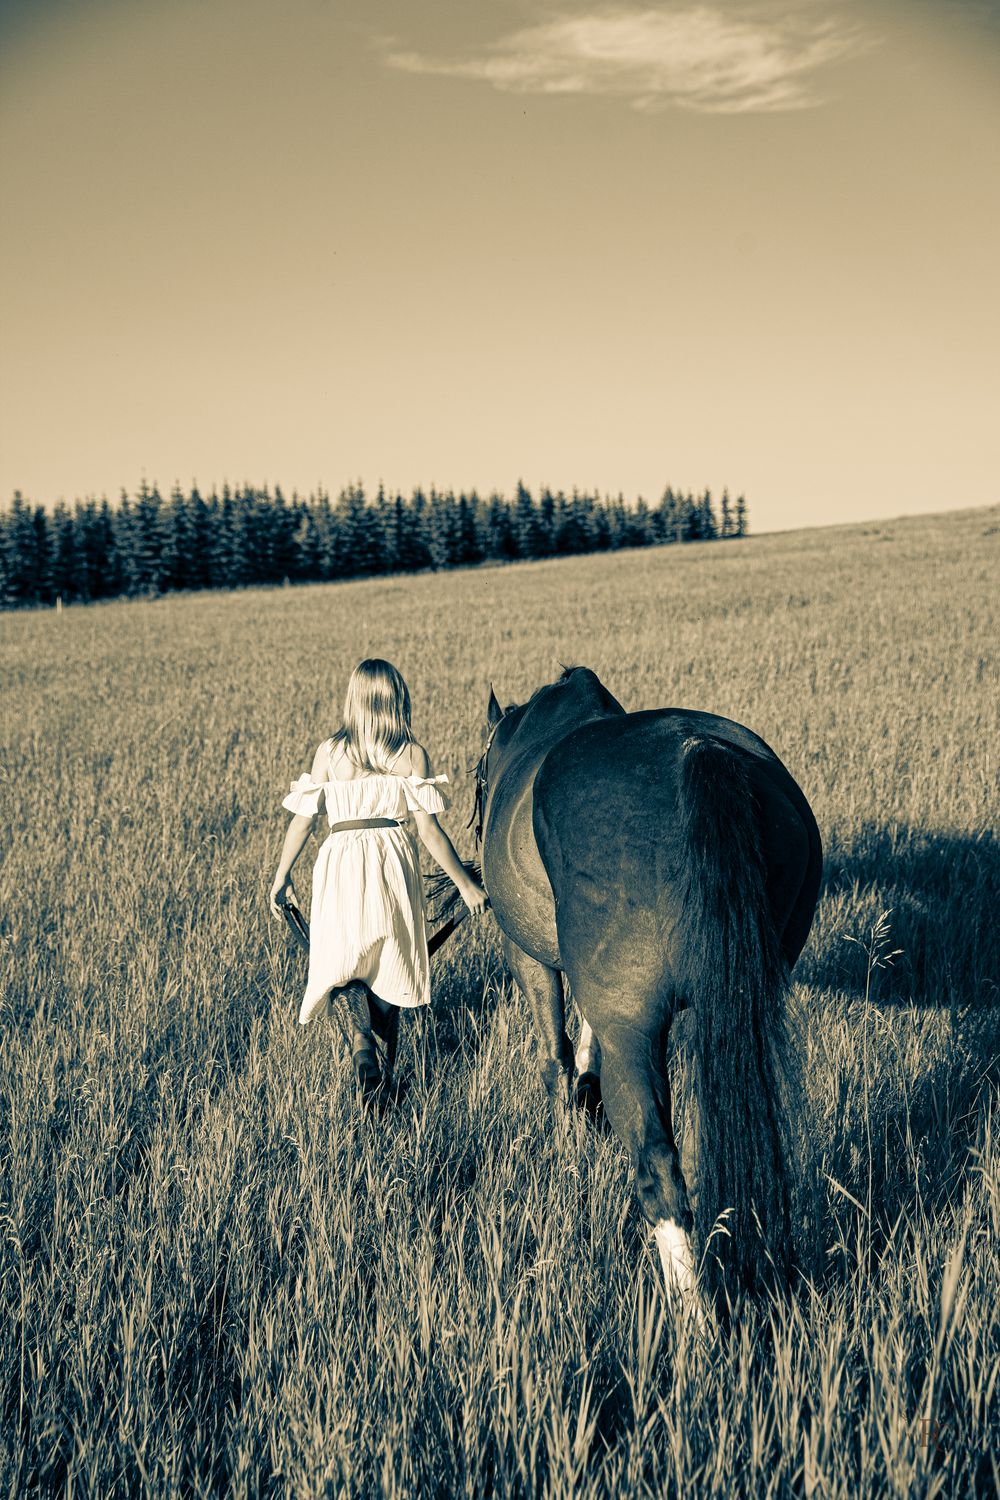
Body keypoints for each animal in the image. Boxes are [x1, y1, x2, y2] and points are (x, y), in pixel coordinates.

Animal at [471, 666, 822, 1302]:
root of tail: (699, 753)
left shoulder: (529, 956)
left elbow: (556, 1055)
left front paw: (567, 1144)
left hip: (633, 1025)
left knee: (659, 1166)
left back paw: (694, 1316)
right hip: (741, 1004)